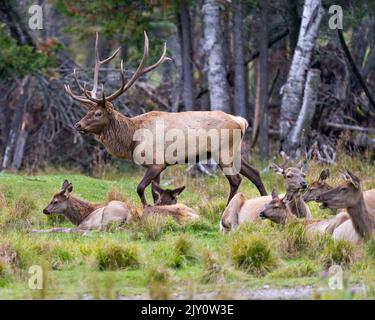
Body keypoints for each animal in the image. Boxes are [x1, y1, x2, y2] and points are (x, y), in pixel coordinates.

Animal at [66, 31, 268, 208]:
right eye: (87, 110)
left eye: (98, 113)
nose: (78, 124)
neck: (132, 139)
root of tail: (241, 121)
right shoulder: (155, 166)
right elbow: (155, 191)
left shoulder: (157, 162)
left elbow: (140, 188)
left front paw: (147, 208)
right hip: (235, 150)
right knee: (255, 173)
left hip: (222, 151)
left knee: (236, 179)